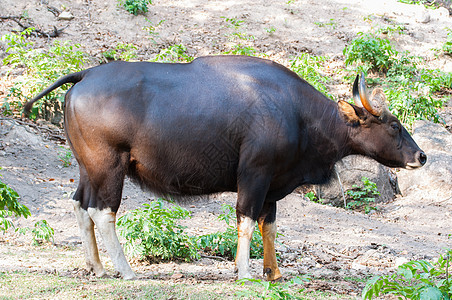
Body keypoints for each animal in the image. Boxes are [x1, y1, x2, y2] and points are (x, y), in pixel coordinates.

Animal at [24, 55, 428, 282]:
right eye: (394, 126)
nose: (422, 156)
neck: (298, 114)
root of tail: (85, 75)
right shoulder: (254, 175)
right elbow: (246, 220)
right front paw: (245, 272)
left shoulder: (273, 184)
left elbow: (269, 225)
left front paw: (273, 273)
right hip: (110, 165)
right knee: (103, 211)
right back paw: (125, 270)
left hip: (87, 167)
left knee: (80, 205)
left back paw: (97, 267)